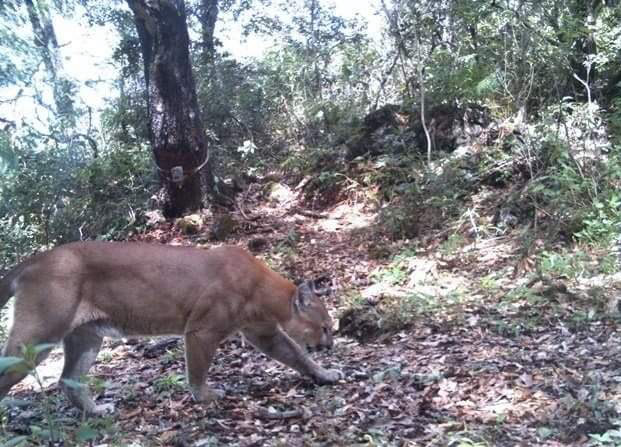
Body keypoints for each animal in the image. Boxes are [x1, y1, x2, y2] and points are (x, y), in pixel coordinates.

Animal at [0, 242, 340, 416]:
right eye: (325, 327)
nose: (331, 345)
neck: (263, 290)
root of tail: (35, 259)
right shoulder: (202, 330)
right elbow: (198, 369)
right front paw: (206, 395)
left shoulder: (263, 333)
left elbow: (297, 355)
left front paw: (324, 374)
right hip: (39, 334)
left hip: (86, 336)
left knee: (69, 379)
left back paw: (97, 411)